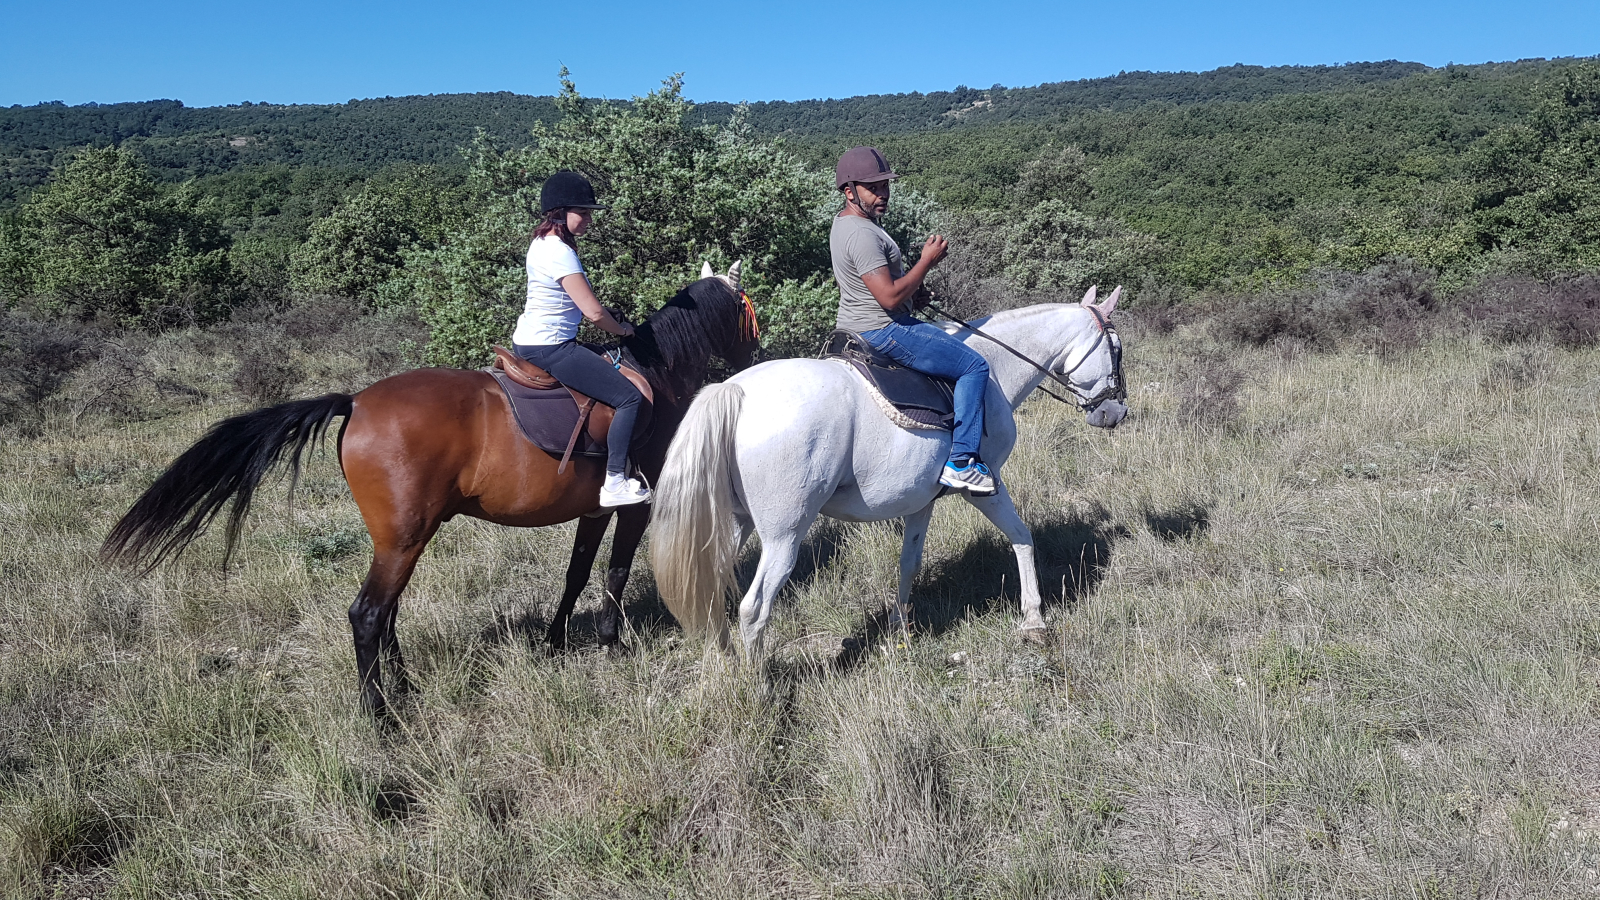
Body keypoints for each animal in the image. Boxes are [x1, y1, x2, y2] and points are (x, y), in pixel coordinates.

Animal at [103, 269, 758, 711]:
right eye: (745, 310)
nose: (755, 350)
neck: (654, 376)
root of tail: (356, 401)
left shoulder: (594, 511)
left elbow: (577, 572)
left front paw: (555, 641)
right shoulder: (634, 507)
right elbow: (616, 573)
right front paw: (610, 643)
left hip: (402, 538)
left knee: (386, 614)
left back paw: (404, 686)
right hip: (404, 538)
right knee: (368, 614)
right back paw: (380, 712)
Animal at [646, 285, 1126, 650]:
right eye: (1117, 349)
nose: (1115, 412)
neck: (993, 370)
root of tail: (735, 392)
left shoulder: (919, 501)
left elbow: (909, 562)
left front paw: (901, 630)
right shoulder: (984, 487)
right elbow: (1022, 537)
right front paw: (1034, 619)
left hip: (735, 522)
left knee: (713, 593)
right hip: (784, 534)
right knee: (754, 607)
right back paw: (758, 686)